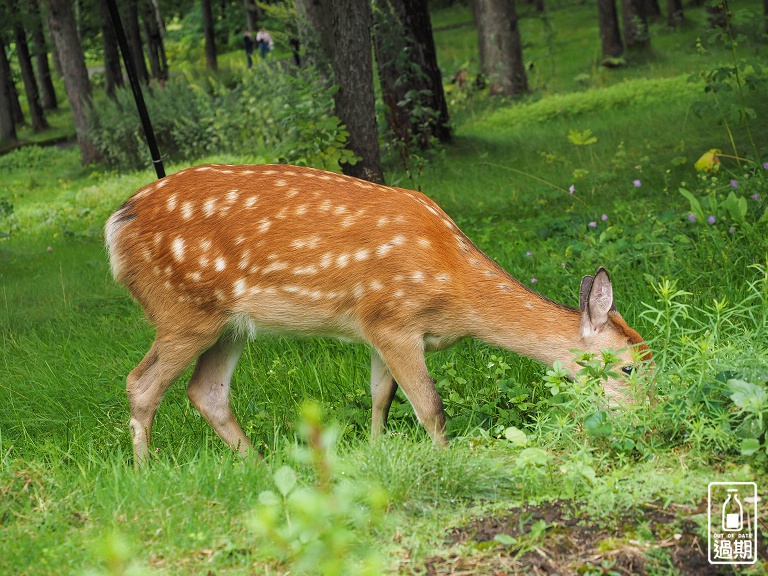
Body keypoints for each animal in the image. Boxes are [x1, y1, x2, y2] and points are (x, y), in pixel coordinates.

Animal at [105, 163, 652, 464]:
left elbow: (380, 397)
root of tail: (115, 225)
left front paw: (373, 454)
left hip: (230, 324)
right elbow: (430, 405)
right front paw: (448, 463)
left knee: (207, 390)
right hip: (183, 309)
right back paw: (145, 471)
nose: (650, 416)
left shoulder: (378, 329)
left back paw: (259, 465)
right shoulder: (394, 319)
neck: (454, 287)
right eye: (629, 368)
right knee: (141, 383)